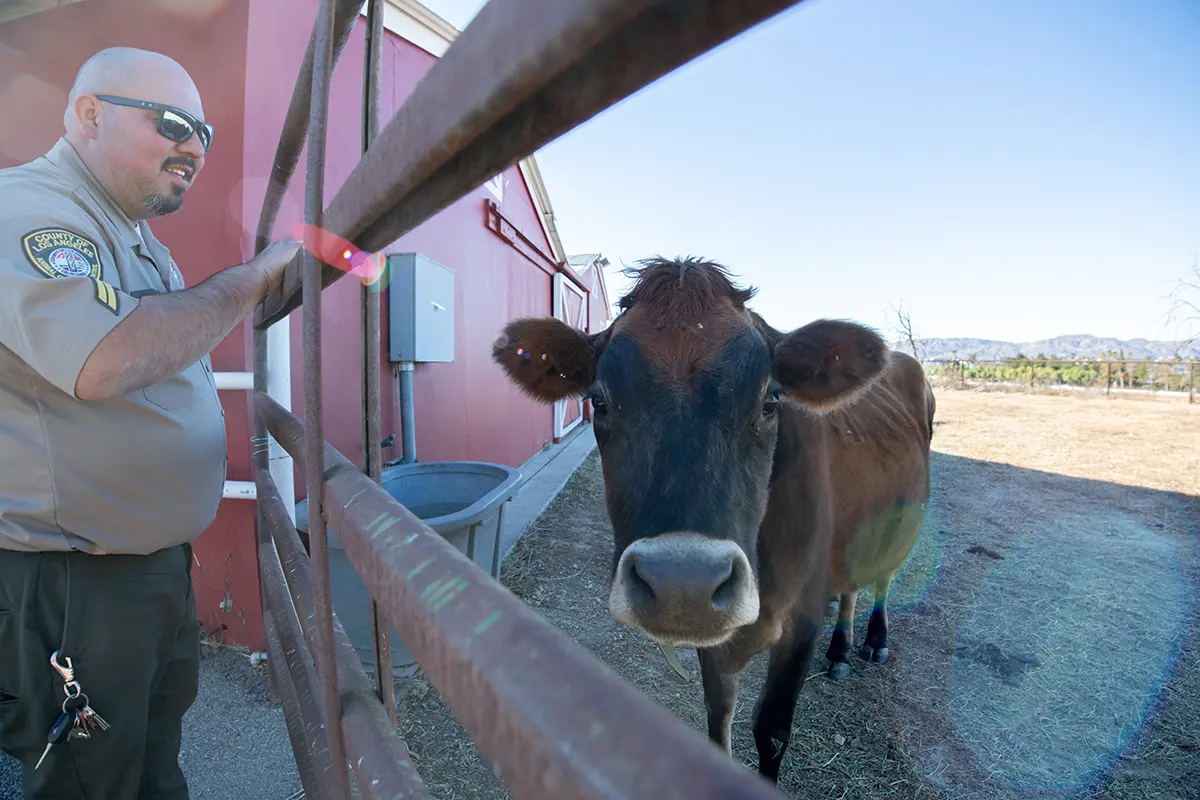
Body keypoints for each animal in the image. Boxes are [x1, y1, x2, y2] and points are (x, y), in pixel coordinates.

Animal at [491, 257, 934, 782]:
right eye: (598, 400)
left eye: (771, 399)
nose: (683, 583)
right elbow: (717, 718)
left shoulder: (801, 617)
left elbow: (772, 730)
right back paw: (840, 651)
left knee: (883, 577)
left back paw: (873, 641)